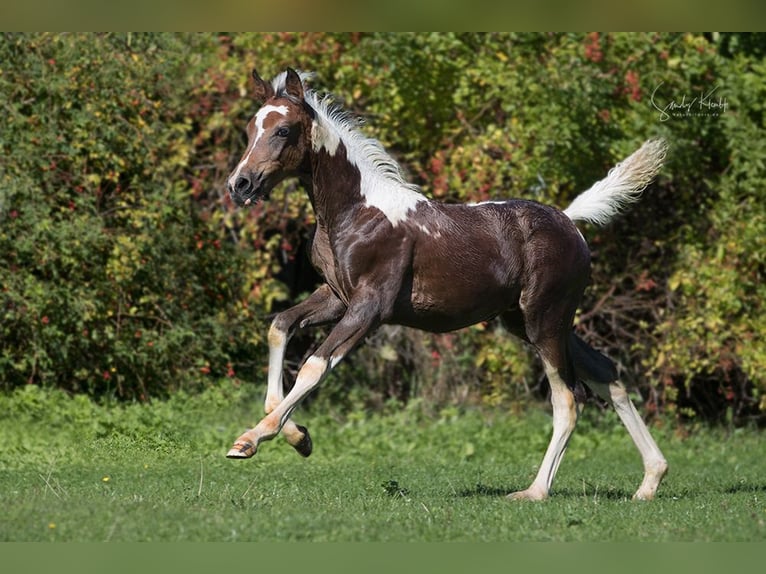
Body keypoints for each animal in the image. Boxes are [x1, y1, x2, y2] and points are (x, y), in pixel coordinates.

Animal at [225, 67, 669, 501]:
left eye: (283, 130)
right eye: (250, 128)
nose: (239, 185)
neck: (357, 211)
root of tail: (570, 221)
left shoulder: (370, 307)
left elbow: (314, 366)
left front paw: (250, 439)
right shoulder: (336, 297)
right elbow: (280, 326)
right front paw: (298, 436)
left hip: (546, 319)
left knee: (568, 399)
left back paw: (535, 492)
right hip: (529, 321)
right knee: (607, 373)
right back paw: (650, 481)